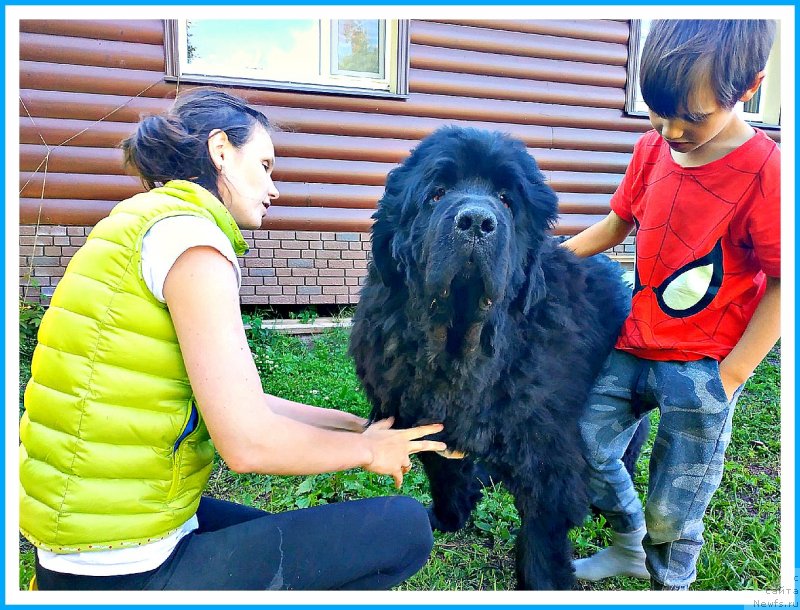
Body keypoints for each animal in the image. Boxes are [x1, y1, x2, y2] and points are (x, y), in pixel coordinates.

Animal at [350, 126, 644, 588]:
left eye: (507, 201)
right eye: (437, 194)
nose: (476, 221)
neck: (463, 353)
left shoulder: (549, 456)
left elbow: (541, 539)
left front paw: (544, 583)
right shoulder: (419, 416)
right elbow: (443, 472)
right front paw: (449, 517)